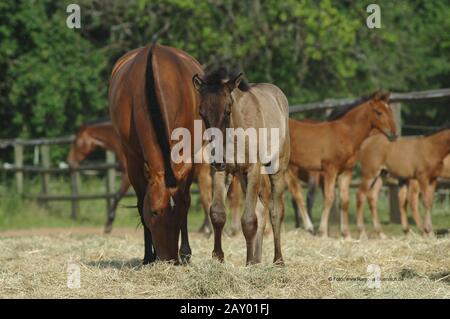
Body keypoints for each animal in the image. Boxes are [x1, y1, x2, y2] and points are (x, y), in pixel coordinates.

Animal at [108, 43, 202, 264]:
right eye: (154, 212)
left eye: (178, 213)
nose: (169, 259)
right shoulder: (133, 160)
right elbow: (140, 201)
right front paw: (148, 256)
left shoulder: (187, 158)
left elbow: (186, 197)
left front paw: (185, 253)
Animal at [192, 67, 290, 264]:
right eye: (201, 112)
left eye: (227, 110)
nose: (217, 158)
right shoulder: (221, 171)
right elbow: (217, 213)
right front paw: (218, 257)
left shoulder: (253, 169)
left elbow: (249, 220)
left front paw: (249, 262)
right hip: (242, 176)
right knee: (261, 209)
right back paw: (258, 259)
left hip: (276, 168)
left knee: (275, 212)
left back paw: (278, 260)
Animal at [286, 91, 396, 239]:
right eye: (379, 112)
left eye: (390, 111)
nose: (393, 134)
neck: (345, 134)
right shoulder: (330, 170)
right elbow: (329, 198)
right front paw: (323, 232)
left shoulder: (346, 172)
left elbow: (344, 201)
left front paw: (346, 234)